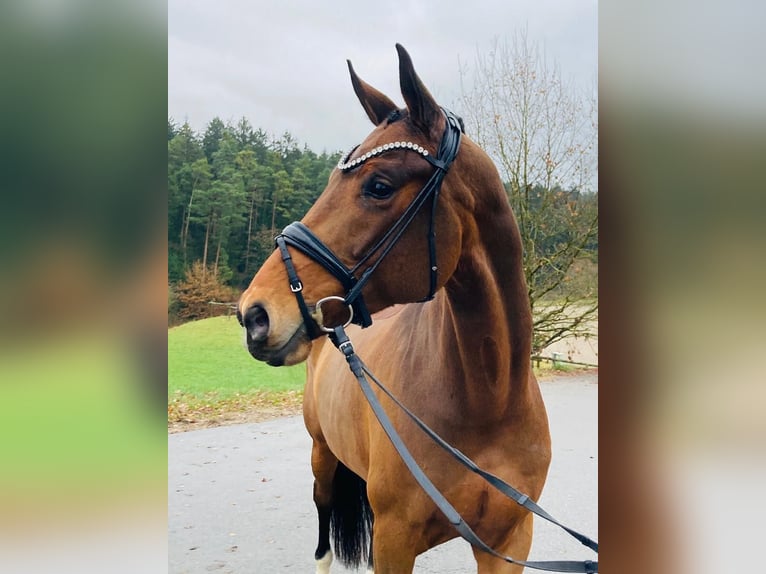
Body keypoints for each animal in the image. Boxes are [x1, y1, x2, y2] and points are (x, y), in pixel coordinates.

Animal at [240, 46, 552, 574]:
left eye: (379, 186)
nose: (254, 314)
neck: (488, 401)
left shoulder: (511, 541)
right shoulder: (393, 540)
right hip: (322, 456)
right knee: (323, 529)